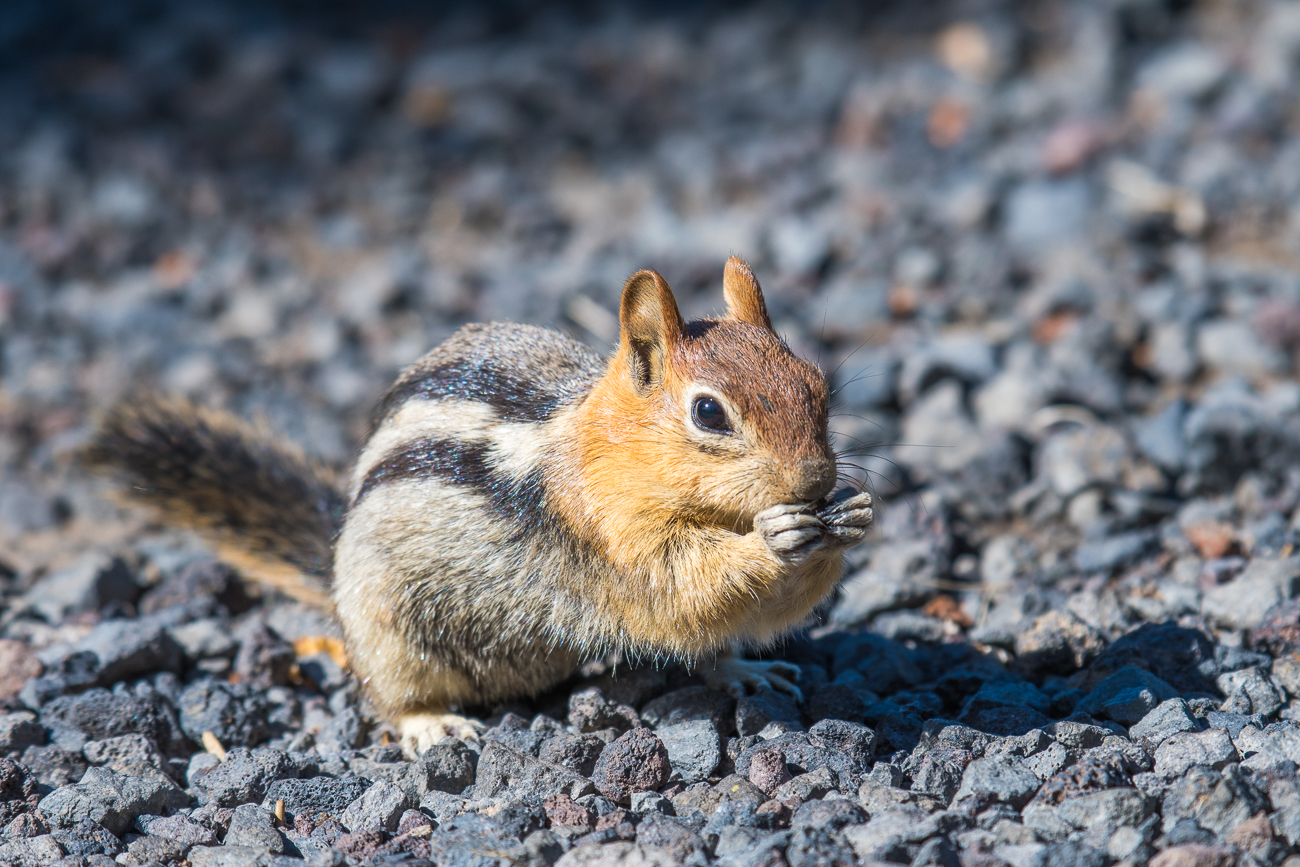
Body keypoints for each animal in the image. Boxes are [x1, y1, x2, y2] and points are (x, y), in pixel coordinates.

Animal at [89, 256, 873, 753]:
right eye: (709, 412)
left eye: (815, 384)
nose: (813, 480)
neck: (604, 449)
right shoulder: (612, 535)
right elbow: (683, 588)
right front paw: (776, 538)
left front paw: (853, 517)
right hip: (385, 627)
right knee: (389, 693)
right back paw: (429, 724)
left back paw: (743, 671)